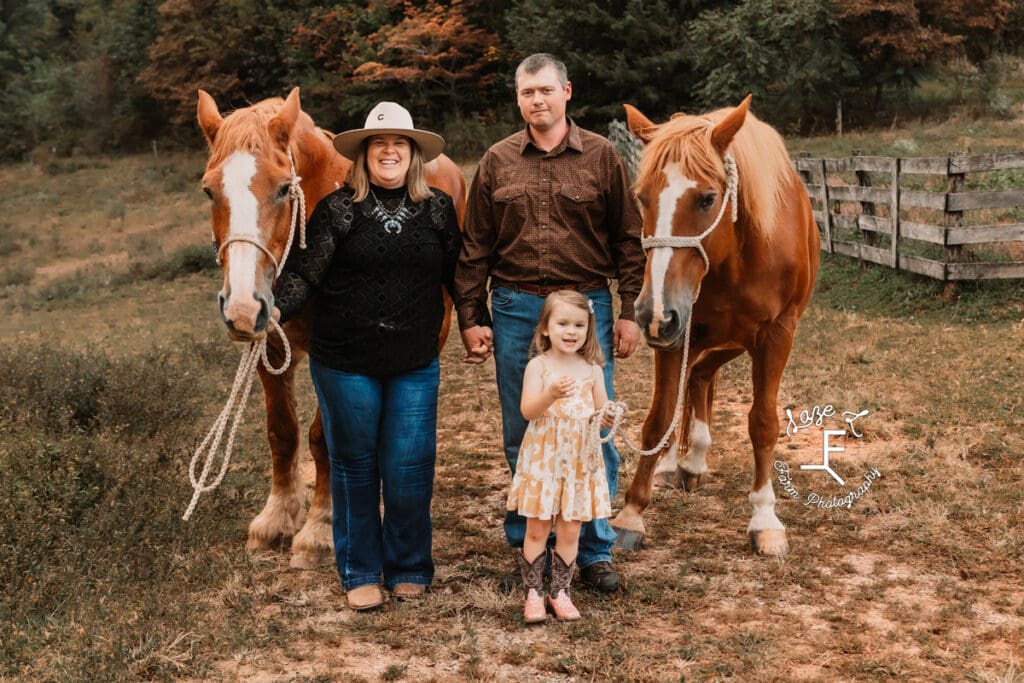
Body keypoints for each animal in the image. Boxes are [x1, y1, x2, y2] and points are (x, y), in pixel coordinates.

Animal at [193, 88, 466, 569]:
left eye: (284, 189)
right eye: (210, 190)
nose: (242, 307)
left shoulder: (334, 352)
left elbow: (325, 440)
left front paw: (319, 530)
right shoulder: (271, 347)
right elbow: (282, 432)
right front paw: (275, 521)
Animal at [610, 96, 819, 557]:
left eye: (708, 198)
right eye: (641, 198)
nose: (650, 311)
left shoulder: (776, 334)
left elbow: (763, 423)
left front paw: (765, 519)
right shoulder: (675, 330)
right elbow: (658, 417)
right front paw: (631, 514)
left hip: (734, 338)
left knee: (702, 375)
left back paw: (693, 459)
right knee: (694, 379)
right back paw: (678, 460)